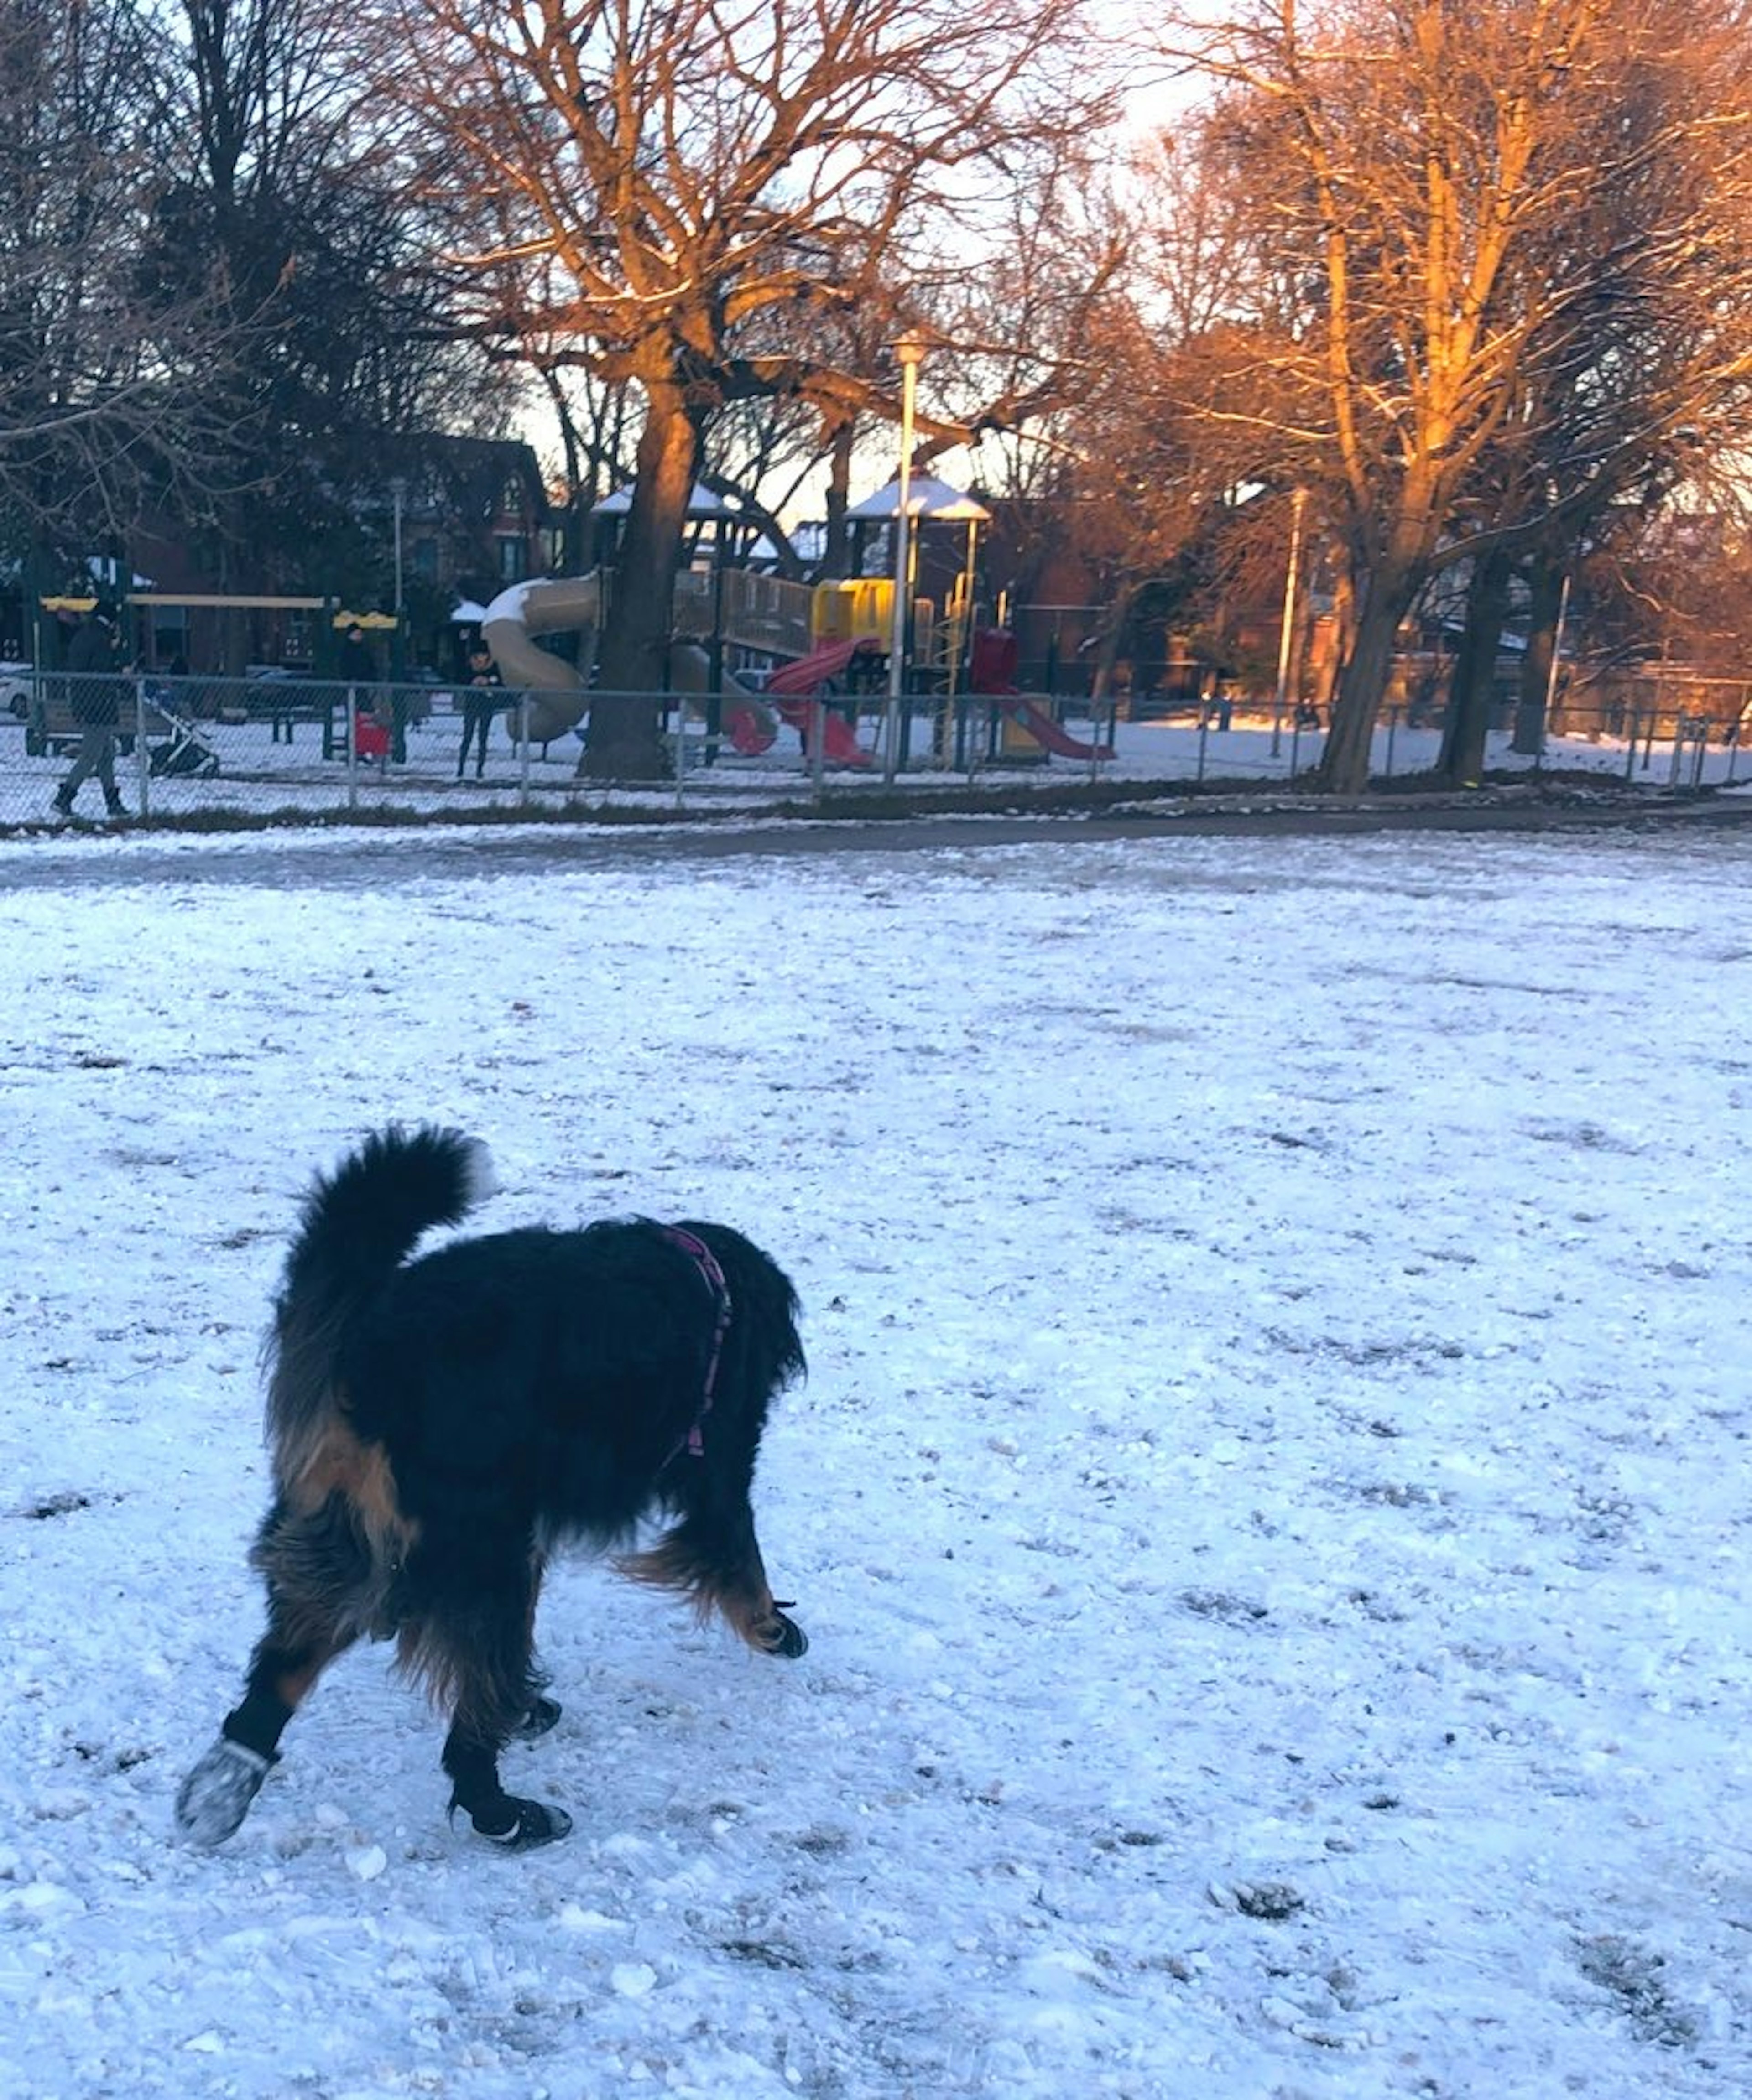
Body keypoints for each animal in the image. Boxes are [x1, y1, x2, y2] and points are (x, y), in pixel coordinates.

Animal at [177, 1125, 807, 1848]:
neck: (712, 1287)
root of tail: (373, 1346)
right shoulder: (720, 1474)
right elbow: (742, 1559)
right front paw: (773, 1628)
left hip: (355, 1539)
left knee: (282, 1674)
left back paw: (221, 1790)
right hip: (481, 1549)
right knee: (469, 1725)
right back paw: (507, 1811)